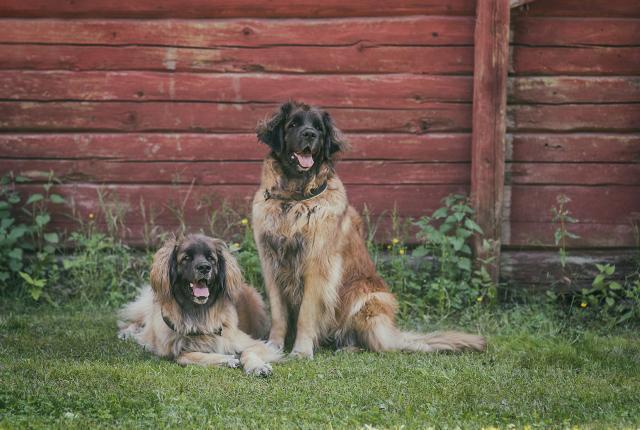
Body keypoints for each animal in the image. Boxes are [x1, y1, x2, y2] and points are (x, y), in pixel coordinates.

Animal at [118, 233, 282, 374]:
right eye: (186, 258)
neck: (199, 312)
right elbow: (186, 356)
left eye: (211, 258)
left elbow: (248, 351)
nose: (204, 267)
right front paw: (227, 359)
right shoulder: (171, 351)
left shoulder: (254, 343)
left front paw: (257, 366)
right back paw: (127, 332)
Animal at [250, 100, 484, 356]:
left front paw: (301, 351)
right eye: (293, 124)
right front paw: (273, 346)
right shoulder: (271, 267)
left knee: (375, 342)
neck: (294, 200)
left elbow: (306, 314)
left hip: (368, 298)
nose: (310, 134)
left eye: (318, 128)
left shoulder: (316, 267)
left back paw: (348, 346)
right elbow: (278, 316)